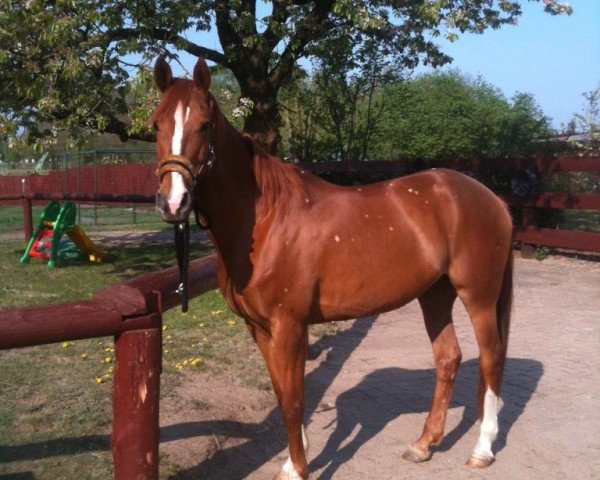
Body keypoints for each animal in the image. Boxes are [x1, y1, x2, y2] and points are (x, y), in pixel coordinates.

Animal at [152, 57, 512, 480]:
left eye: (205, 125)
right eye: (155, 125)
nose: (173, 202)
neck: (265, 219)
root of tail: (492, 199)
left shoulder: (289, 326)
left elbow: (294, 400)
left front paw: (298, 469)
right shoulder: (259, 328)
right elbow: (283, 394)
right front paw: (295, 460)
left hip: (478, 295)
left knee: (491, 358)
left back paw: (482, 449)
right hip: (435, 294)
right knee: (448, 358)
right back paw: (424, 444)